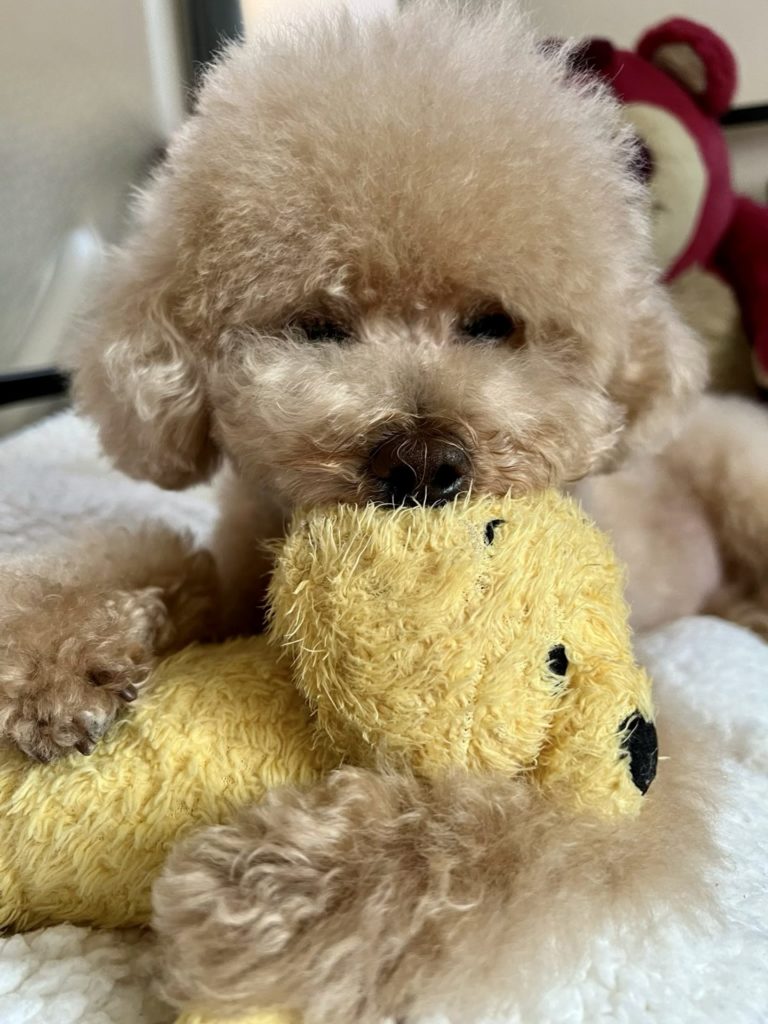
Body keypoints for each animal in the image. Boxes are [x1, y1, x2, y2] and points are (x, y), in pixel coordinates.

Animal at [0, 2, 762, 1018]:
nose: (423, 459)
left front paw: (267, 898)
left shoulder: (625, 765)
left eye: (494, 323)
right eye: (320, 326)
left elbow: (489, 832)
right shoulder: (240, 569)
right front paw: (54, 658)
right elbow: (157, 564)